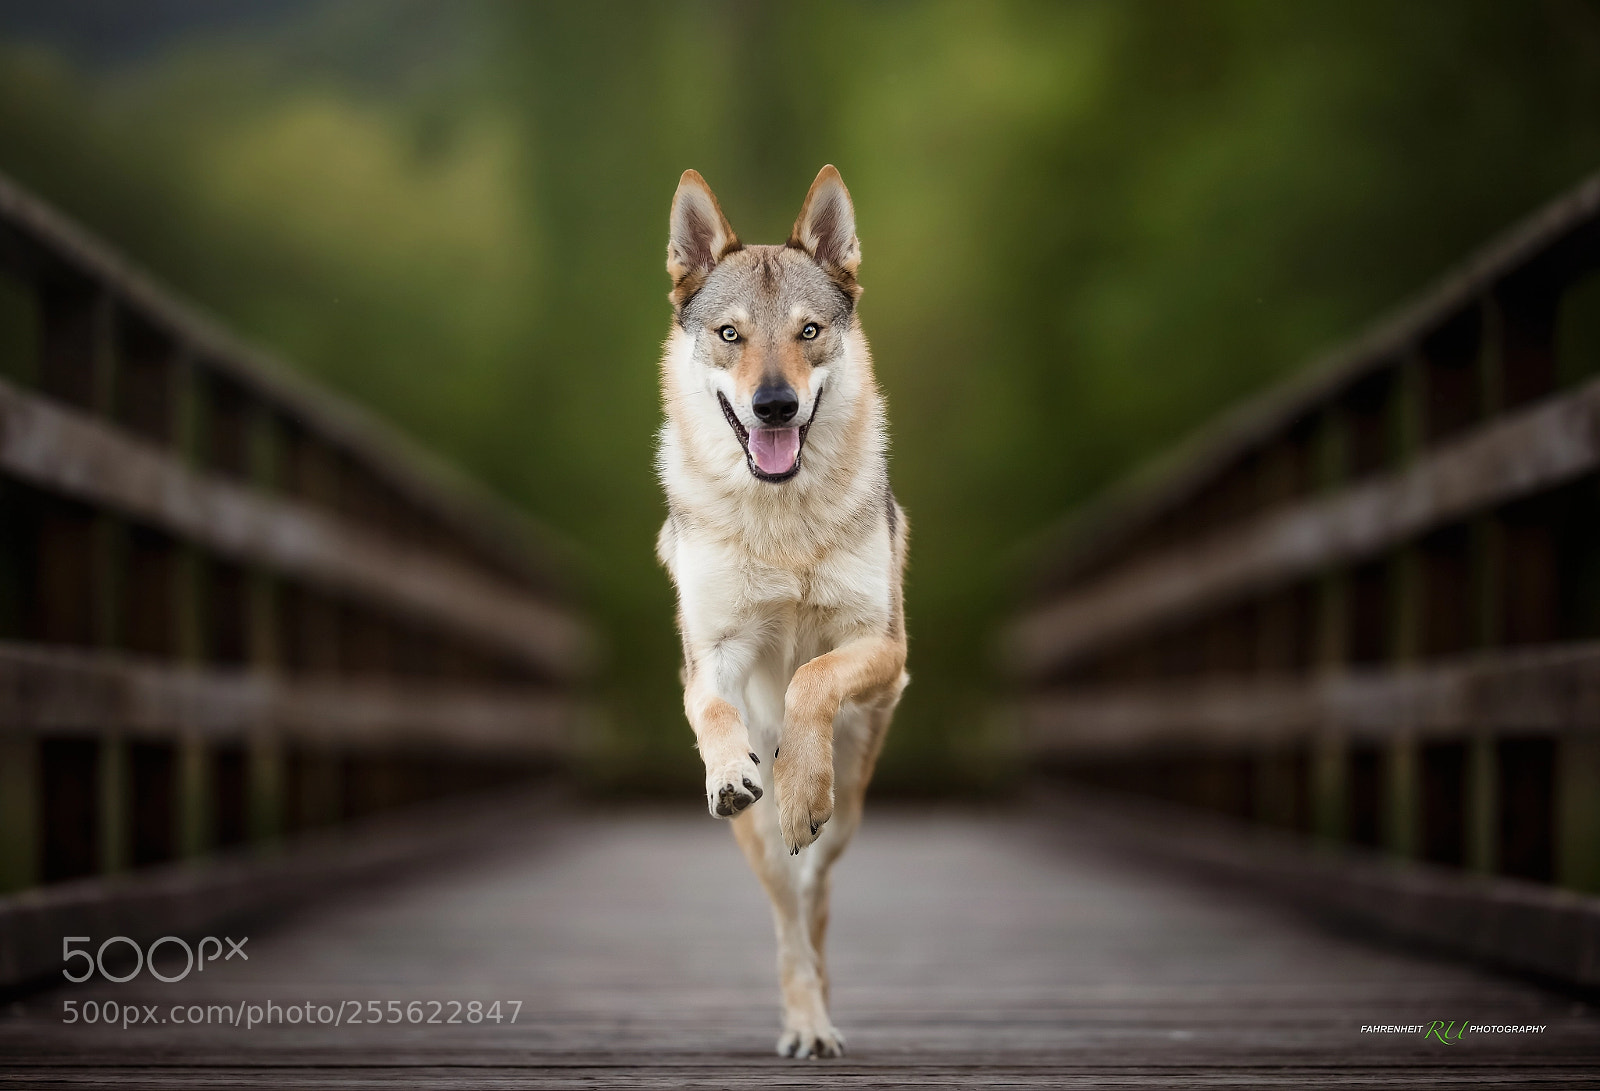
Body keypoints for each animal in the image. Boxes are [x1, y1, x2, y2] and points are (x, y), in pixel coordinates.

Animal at [654, 165, 908, 1059]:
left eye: (808, 331)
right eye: (731, 335)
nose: (773, 406)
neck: (781, 517)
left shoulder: (884, 648)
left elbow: (813, 680)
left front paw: (801, 783)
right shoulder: (711, 653)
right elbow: (716, 709)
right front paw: (736, 769)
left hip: (853, 812)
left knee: (816, 898)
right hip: (758, 849)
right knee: (788, 918)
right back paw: (805, 1024)